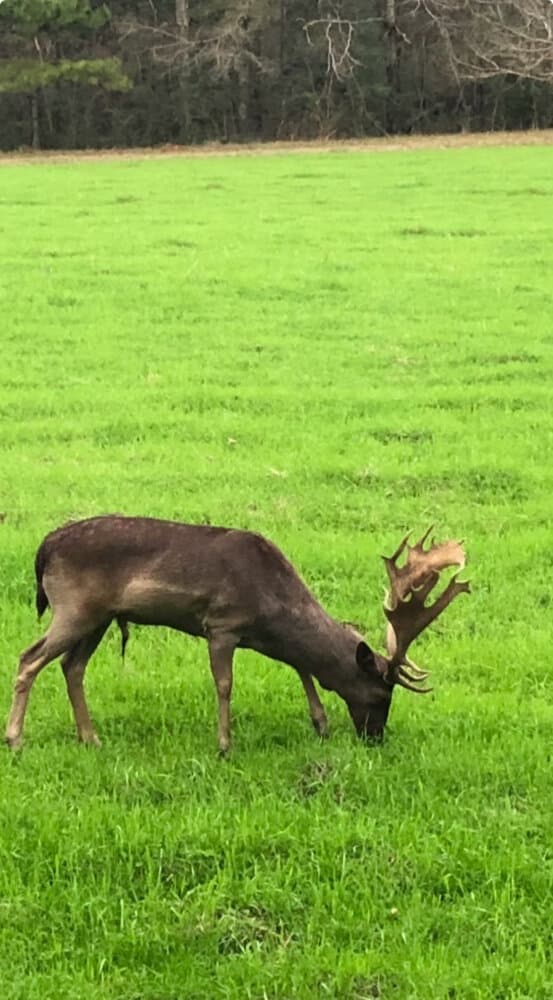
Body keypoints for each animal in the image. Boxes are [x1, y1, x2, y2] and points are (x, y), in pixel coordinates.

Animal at [4, 516, 470, 752]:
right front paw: (224, 744)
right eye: (379, 695)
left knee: (71, 666)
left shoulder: (258, 637)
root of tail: (44, 549)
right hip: (74, 606)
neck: (273, 609)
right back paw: (14, 738)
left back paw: (90, 737)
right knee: (29, 658)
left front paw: (319, 723)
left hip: (98, 617)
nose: (376, 738)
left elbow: (301, 666)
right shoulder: (222, 624)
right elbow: (225, 684)